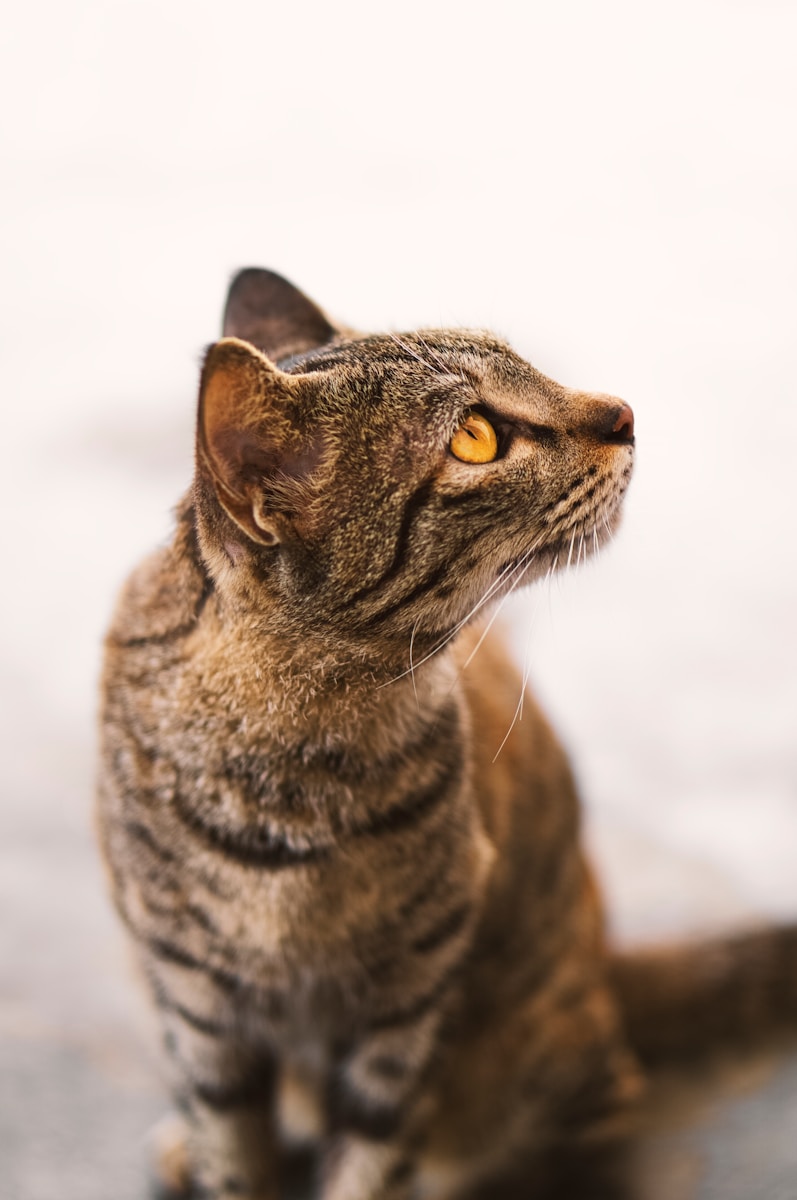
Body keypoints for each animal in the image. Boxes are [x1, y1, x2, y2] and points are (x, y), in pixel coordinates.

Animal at [97, 270, 797, 1200]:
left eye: (529, 365)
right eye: (475, 437)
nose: (623, 411)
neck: (294, 767)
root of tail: (603, 961)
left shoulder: (408, 1009)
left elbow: (369, 1162)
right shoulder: (196, 1003)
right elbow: (231, 1151)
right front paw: (212, 1155)